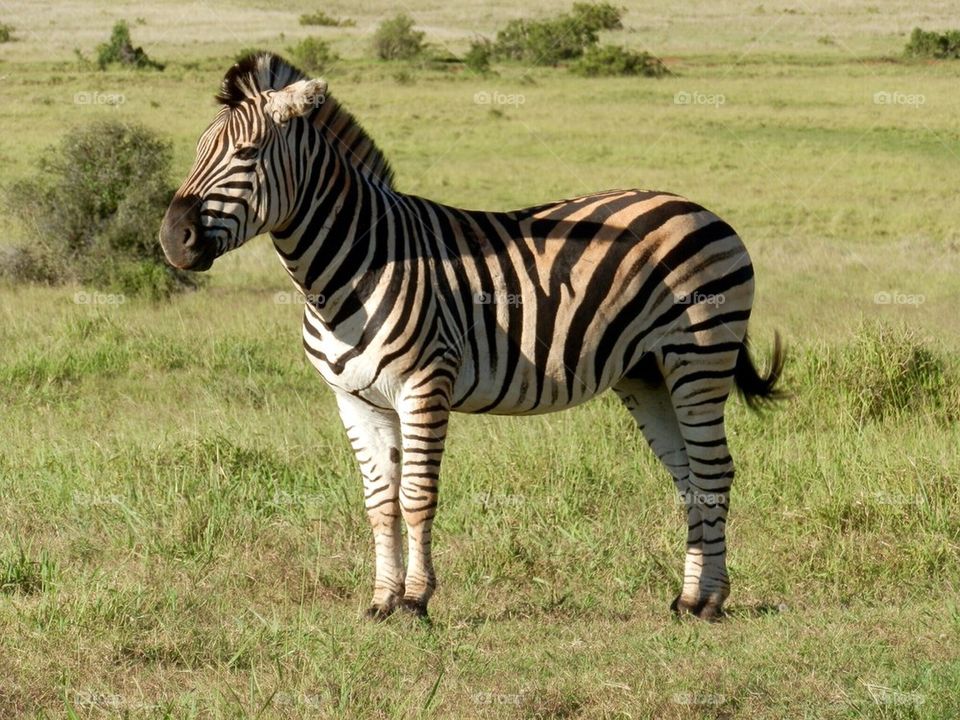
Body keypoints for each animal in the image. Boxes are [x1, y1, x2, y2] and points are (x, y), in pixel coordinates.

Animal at [159, 53, 784, 621]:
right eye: (197, 152)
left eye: (246, 155)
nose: (172, 240)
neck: (348, 271)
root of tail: (701, 210)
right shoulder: (354, 399)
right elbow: (379, 502)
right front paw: (381, 601)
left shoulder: (424, 384)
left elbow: (415, 498)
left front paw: (415, 601)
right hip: (646, 373)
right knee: (688, 476)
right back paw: (686, 599)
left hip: (698, 356)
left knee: (714, 470)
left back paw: (710, 603)